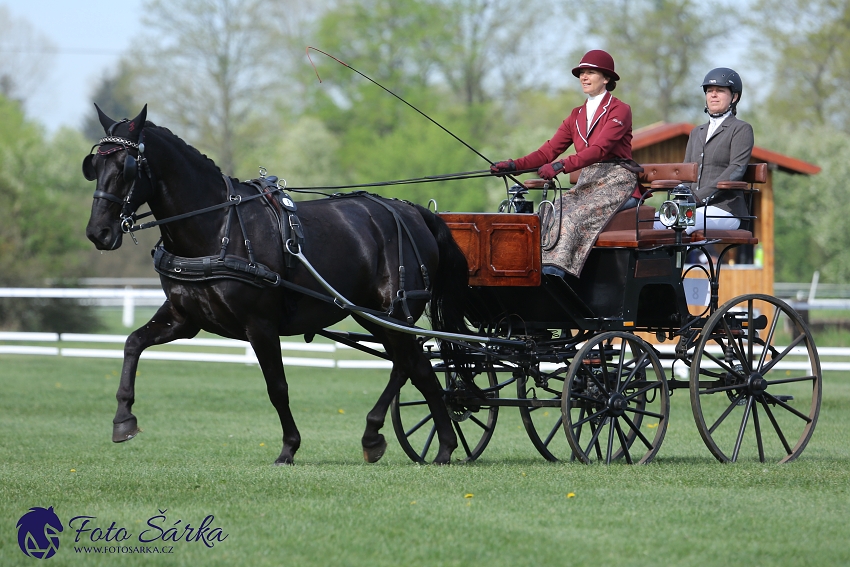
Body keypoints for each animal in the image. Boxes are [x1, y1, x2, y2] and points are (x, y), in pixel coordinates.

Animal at [84, 106, 470, 466]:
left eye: (125, 168)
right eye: (94, 166)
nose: (98, 232)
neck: (218, 226)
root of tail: (414, 212)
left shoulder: (260, 324)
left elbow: (277, 387)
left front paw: (289, 448)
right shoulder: (184, 318)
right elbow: (133, 344)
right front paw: (123, 419)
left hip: (392, 313)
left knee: (407, 364)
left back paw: (383, 435)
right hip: (371, 314)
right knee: (416, 366)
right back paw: (441, 445)